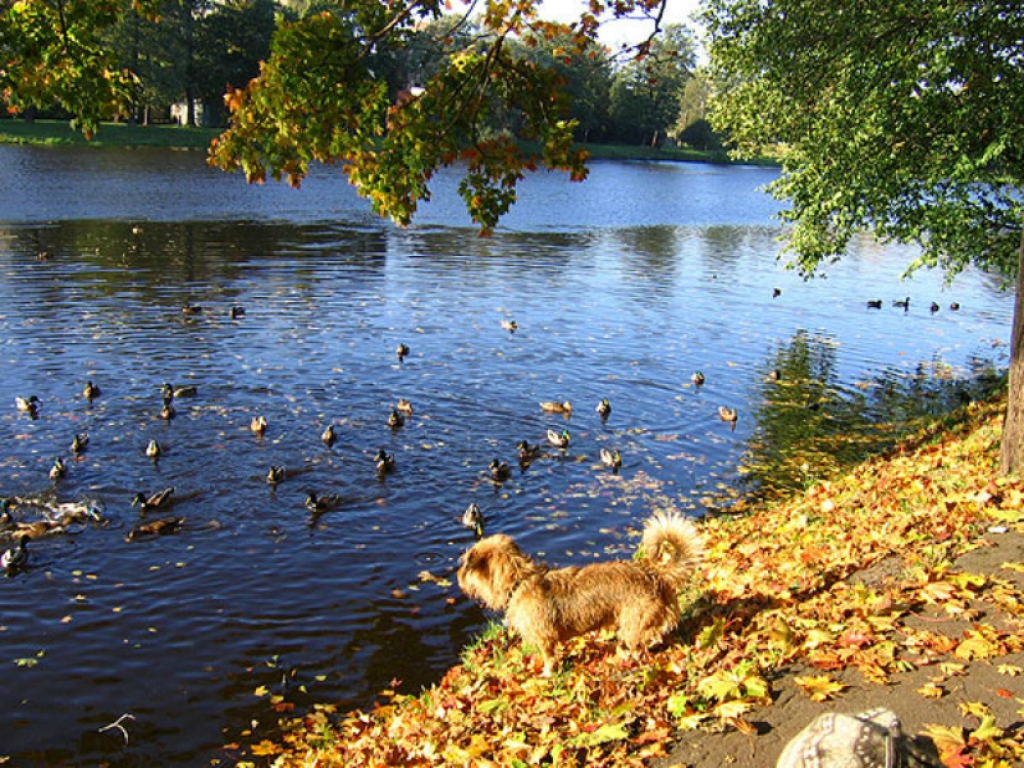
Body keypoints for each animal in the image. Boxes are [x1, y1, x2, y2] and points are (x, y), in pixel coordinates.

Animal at [458, 514, 704, 675]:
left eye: (465, 566)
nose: (458, 575)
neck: (520, 581)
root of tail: (655, 575)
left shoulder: (545, 639)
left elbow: (549, 659)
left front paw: (548, 674)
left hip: (633, 626)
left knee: (642, 644)